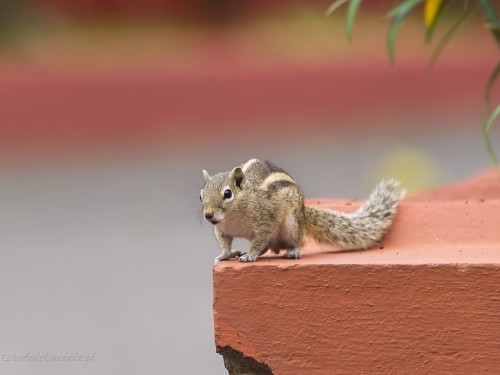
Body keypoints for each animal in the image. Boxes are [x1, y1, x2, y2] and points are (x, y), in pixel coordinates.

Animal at [198, 159, 402, 264]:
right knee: (268, 247)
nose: (208, 215)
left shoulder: (264, 221)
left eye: (227, 193)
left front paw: (250, 255)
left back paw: (293, 251)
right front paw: (225, 254)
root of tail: (304, 213)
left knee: (296, 241)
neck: (233, 216)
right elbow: (225, 243)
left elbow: (259, 241)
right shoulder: (221, 229)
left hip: (292, 224)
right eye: (201, 196)